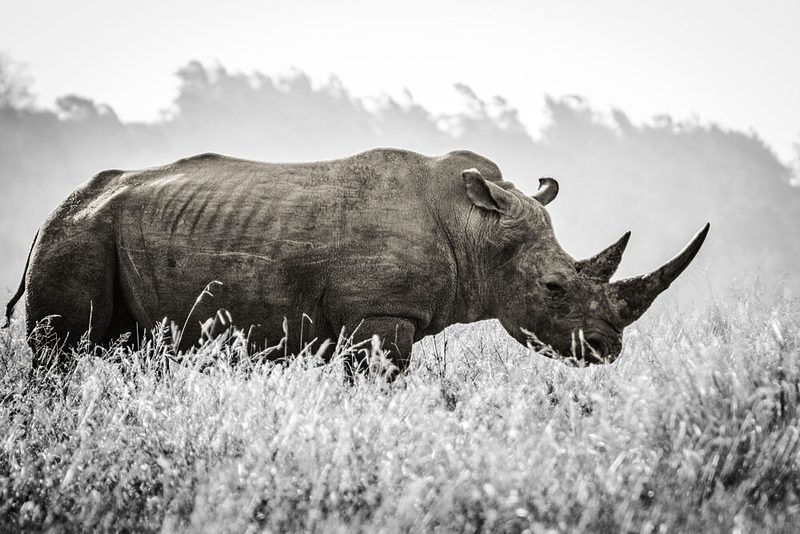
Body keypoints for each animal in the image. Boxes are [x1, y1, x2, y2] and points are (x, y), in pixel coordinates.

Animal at [4, 149, 709, 375]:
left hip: (98, 233)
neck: (476, 229)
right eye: (555, 288)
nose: (608, 350)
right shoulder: (379, 316)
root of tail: (55, 211)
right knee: (63, 355)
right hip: (76, 237)